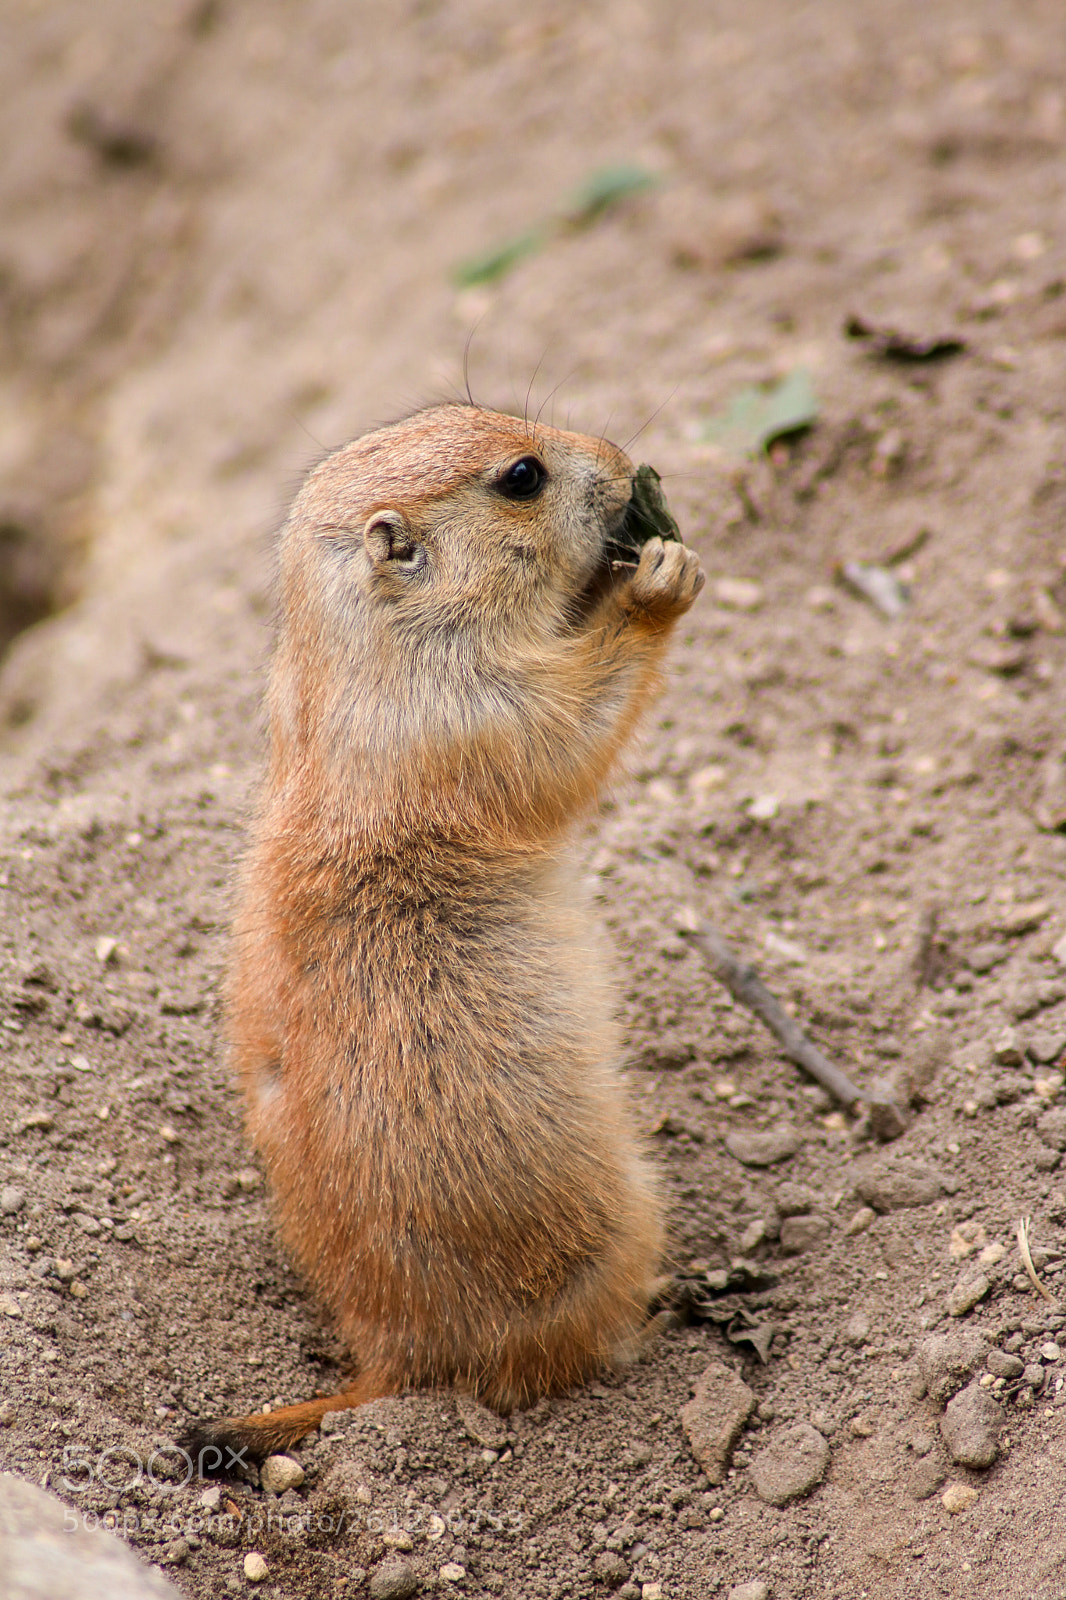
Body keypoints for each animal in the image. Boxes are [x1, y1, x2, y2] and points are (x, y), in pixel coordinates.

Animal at [182, 403, 704, 1465]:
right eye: (521, 476)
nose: (629, 464)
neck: (374, 643)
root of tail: (394, 1362)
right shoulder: (473, 713)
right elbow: (565, 731)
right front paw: (658, 578)